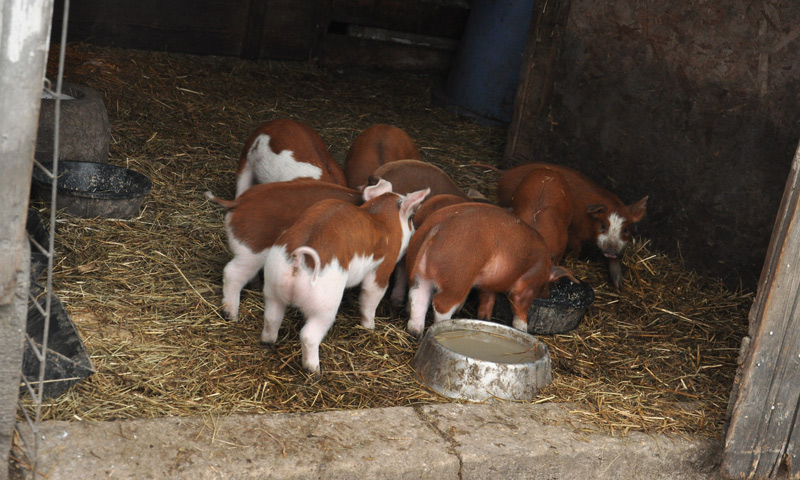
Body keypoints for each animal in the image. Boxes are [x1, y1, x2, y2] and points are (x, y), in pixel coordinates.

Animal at [260, 179, 430, 375]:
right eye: (411, 218)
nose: (415, 231)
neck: (382, 218)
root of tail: (298, 259)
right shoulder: (382, 267)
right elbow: (371, 296)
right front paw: (370, 327)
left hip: (273, 283)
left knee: (271, 318)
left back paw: (267, 344)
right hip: (324, 302)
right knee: (309, 335)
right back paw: (315, 371)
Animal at [405, 203, 577, 338]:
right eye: (547, 285)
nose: (547, 294)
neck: (545, 267)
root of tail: (437, 227)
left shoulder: (488, 284)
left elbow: (488, 299)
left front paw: (484, 318)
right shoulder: (528, 284)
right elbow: (520, 306)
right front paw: (523, 329)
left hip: (419, 275)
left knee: (417, 297)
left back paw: (415, 333)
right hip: (458, 278)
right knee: (441, 304)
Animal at [489, 162, 648, 288]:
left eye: (625, 230)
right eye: (602, 225)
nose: (611, 251)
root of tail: (506, 172)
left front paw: (618, 285)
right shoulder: (573, 233)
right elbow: (576, 249)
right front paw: (575, 260)